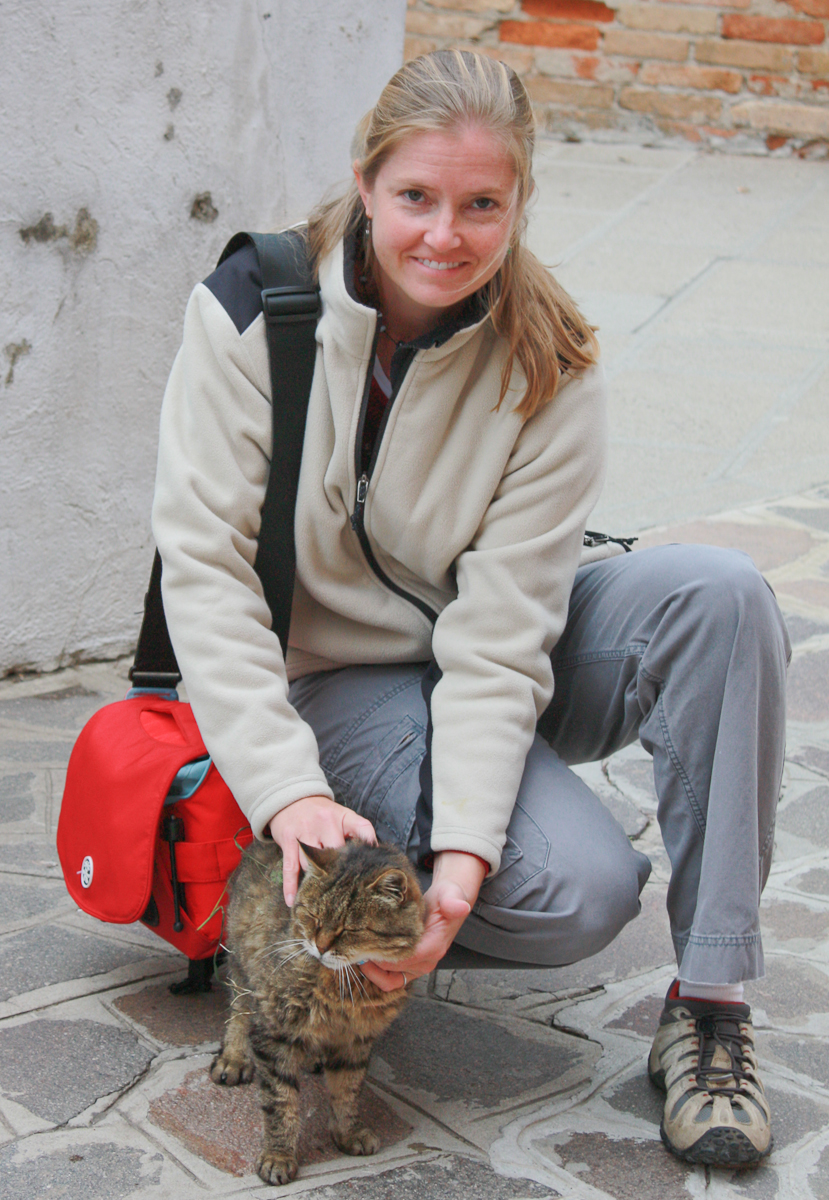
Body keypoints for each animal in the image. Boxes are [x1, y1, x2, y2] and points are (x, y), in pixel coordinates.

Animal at [209, 837, 424, 1185]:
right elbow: (280, 1101)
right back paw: (234, 1058)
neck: (349, 986)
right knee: (239, 1013)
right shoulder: (274, 1029)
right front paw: (278, 1155)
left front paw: (348, 1131)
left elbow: (348, 1089)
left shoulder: (357, 1041)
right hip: (243, 966)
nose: (320, 947)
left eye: (350, 929)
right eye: (313, 917)